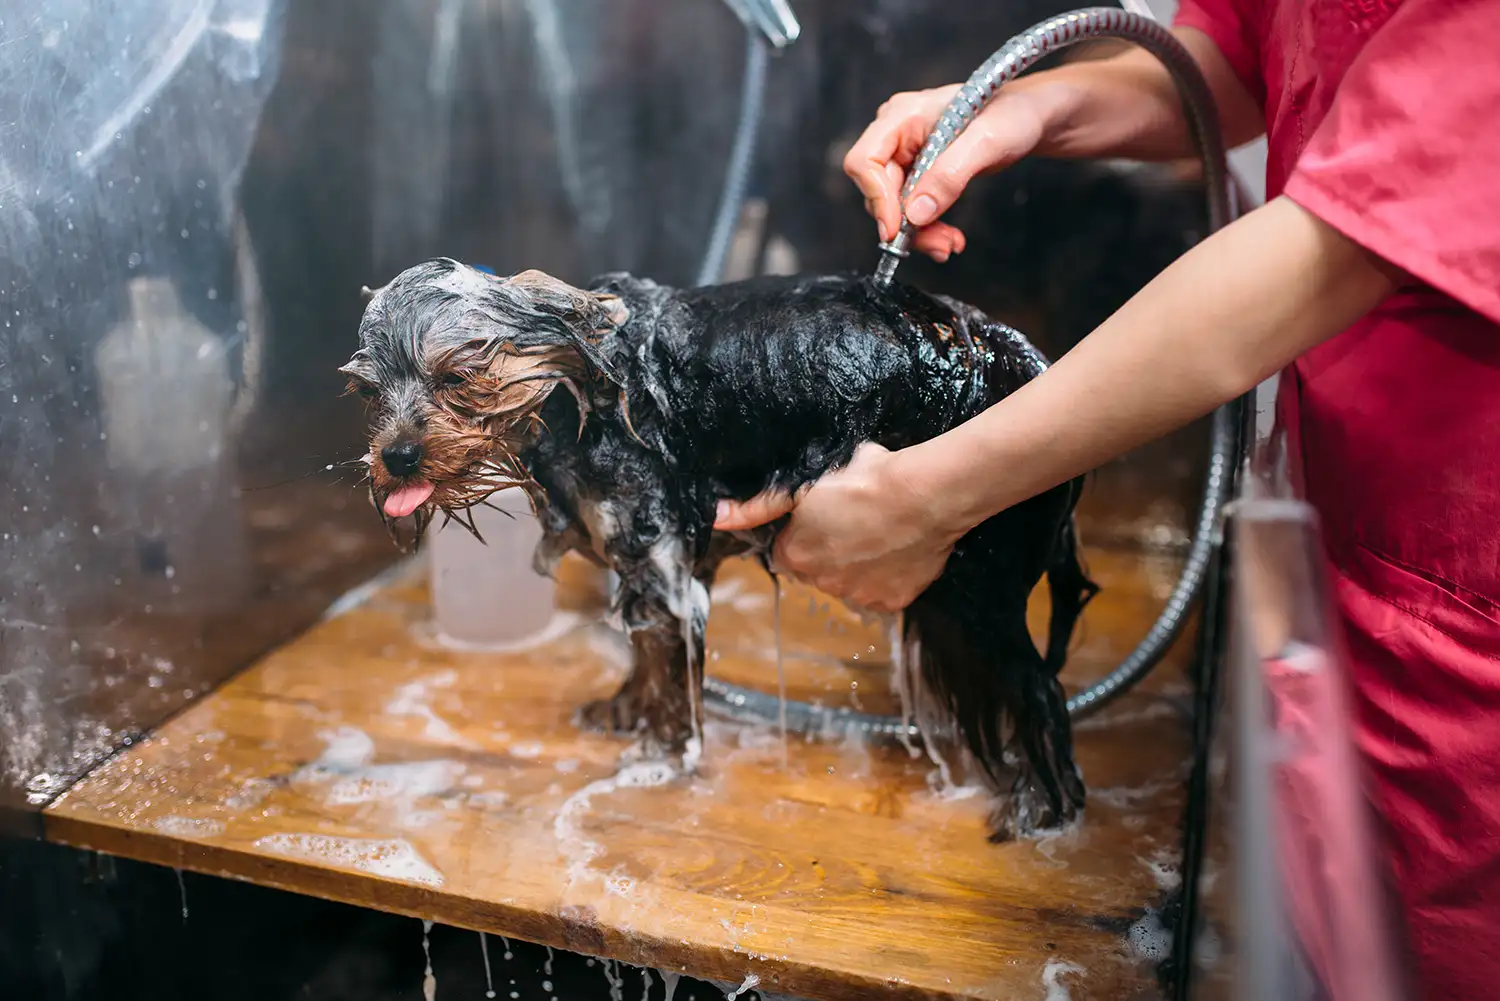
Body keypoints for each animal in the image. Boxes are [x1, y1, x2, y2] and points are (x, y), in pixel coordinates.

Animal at [340, 262, 1098, 840]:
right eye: (368, 392)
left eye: (457, 378)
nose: (396, 457)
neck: (574, 394)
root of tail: (1024, 359)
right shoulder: (658, 570)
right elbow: (648, 659)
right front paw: (625, 712)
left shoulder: (660, 558)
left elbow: (669, 673)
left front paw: (659, 755)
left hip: (974, 581)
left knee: (1039, 690)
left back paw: (1041, 812)